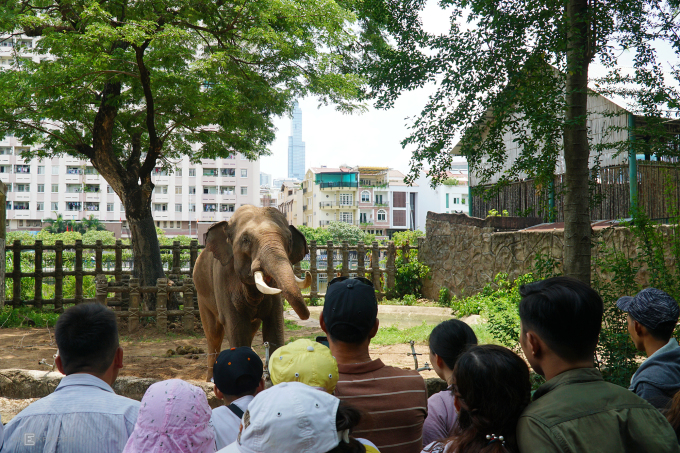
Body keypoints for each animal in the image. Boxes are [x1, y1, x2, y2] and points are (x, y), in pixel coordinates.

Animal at [193, 207, 312, 380]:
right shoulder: (222, 278)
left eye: (289, 240)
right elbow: (236, 328)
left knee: (251, 328)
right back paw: (210, 379)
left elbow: (275, 326)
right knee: (214, 334)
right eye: (246, 240)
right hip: (202, 296)